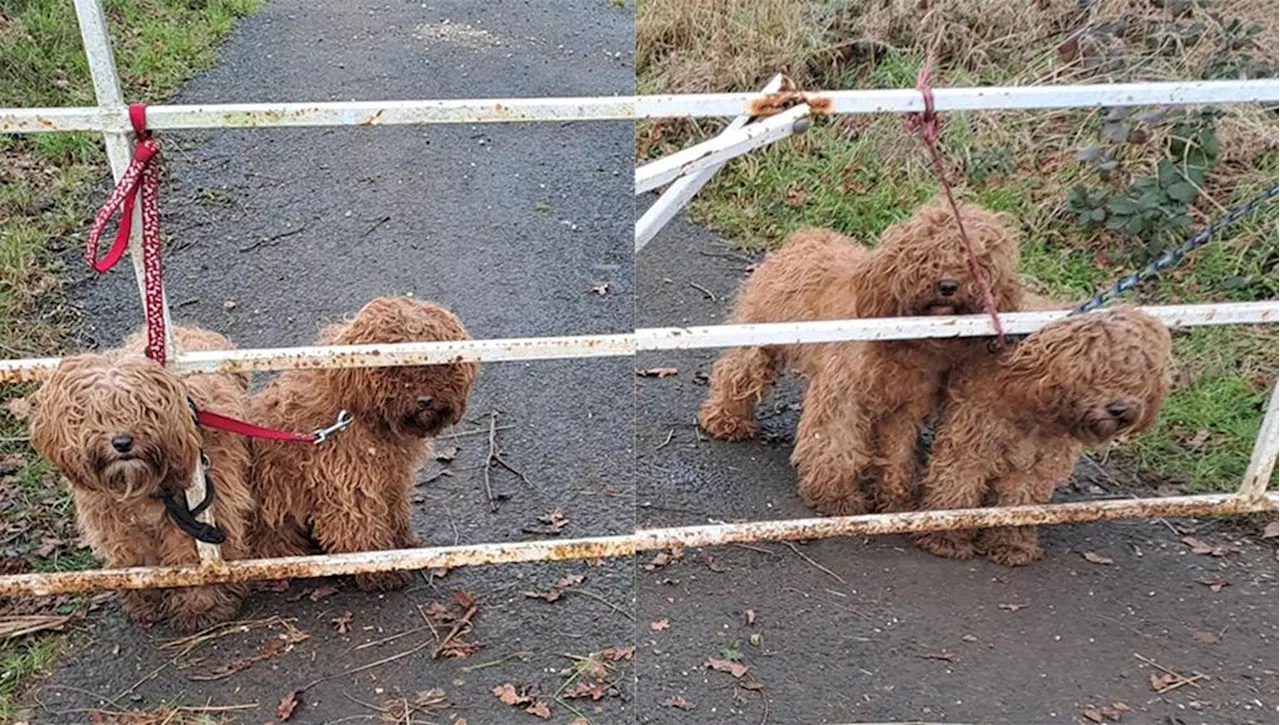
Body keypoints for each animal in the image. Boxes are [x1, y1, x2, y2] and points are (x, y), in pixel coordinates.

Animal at [30, 326, 254, 632]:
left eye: (142, 409)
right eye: (94, 414)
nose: (122, 442)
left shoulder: (195, 512)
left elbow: (188, 555)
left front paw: (200, 605)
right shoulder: (117, 524)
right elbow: (136, 559)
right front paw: (145, 599)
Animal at [248, 298, 476, 594]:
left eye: (435, 361)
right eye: (394, 367)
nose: (425, 400)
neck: (356, 411)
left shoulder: (391, 477)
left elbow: (394, 510)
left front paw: (402, 542)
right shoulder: (348, 482)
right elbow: (361, 525)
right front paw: (379, 569)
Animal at [696, 195, 1024, 517]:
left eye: (974, 260)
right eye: (925, 255)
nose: (947, 285)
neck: (904, 339)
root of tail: (806, 235)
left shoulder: (905, 408)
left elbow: (896, 453)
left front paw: (894, 499)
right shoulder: (843, 396)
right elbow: (835, 444)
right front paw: (835, 496)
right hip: (760, 334)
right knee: (738, 371)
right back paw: (726, 418)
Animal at [916, 307, 1172, 568]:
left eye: (1139, 373)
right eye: (1094, 371)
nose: (1120, 409)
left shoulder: (1033, 465)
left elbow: (1019, 503)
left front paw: (1012, 544)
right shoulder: (970, 443)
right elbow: (957, 487)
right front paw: (946, 536)